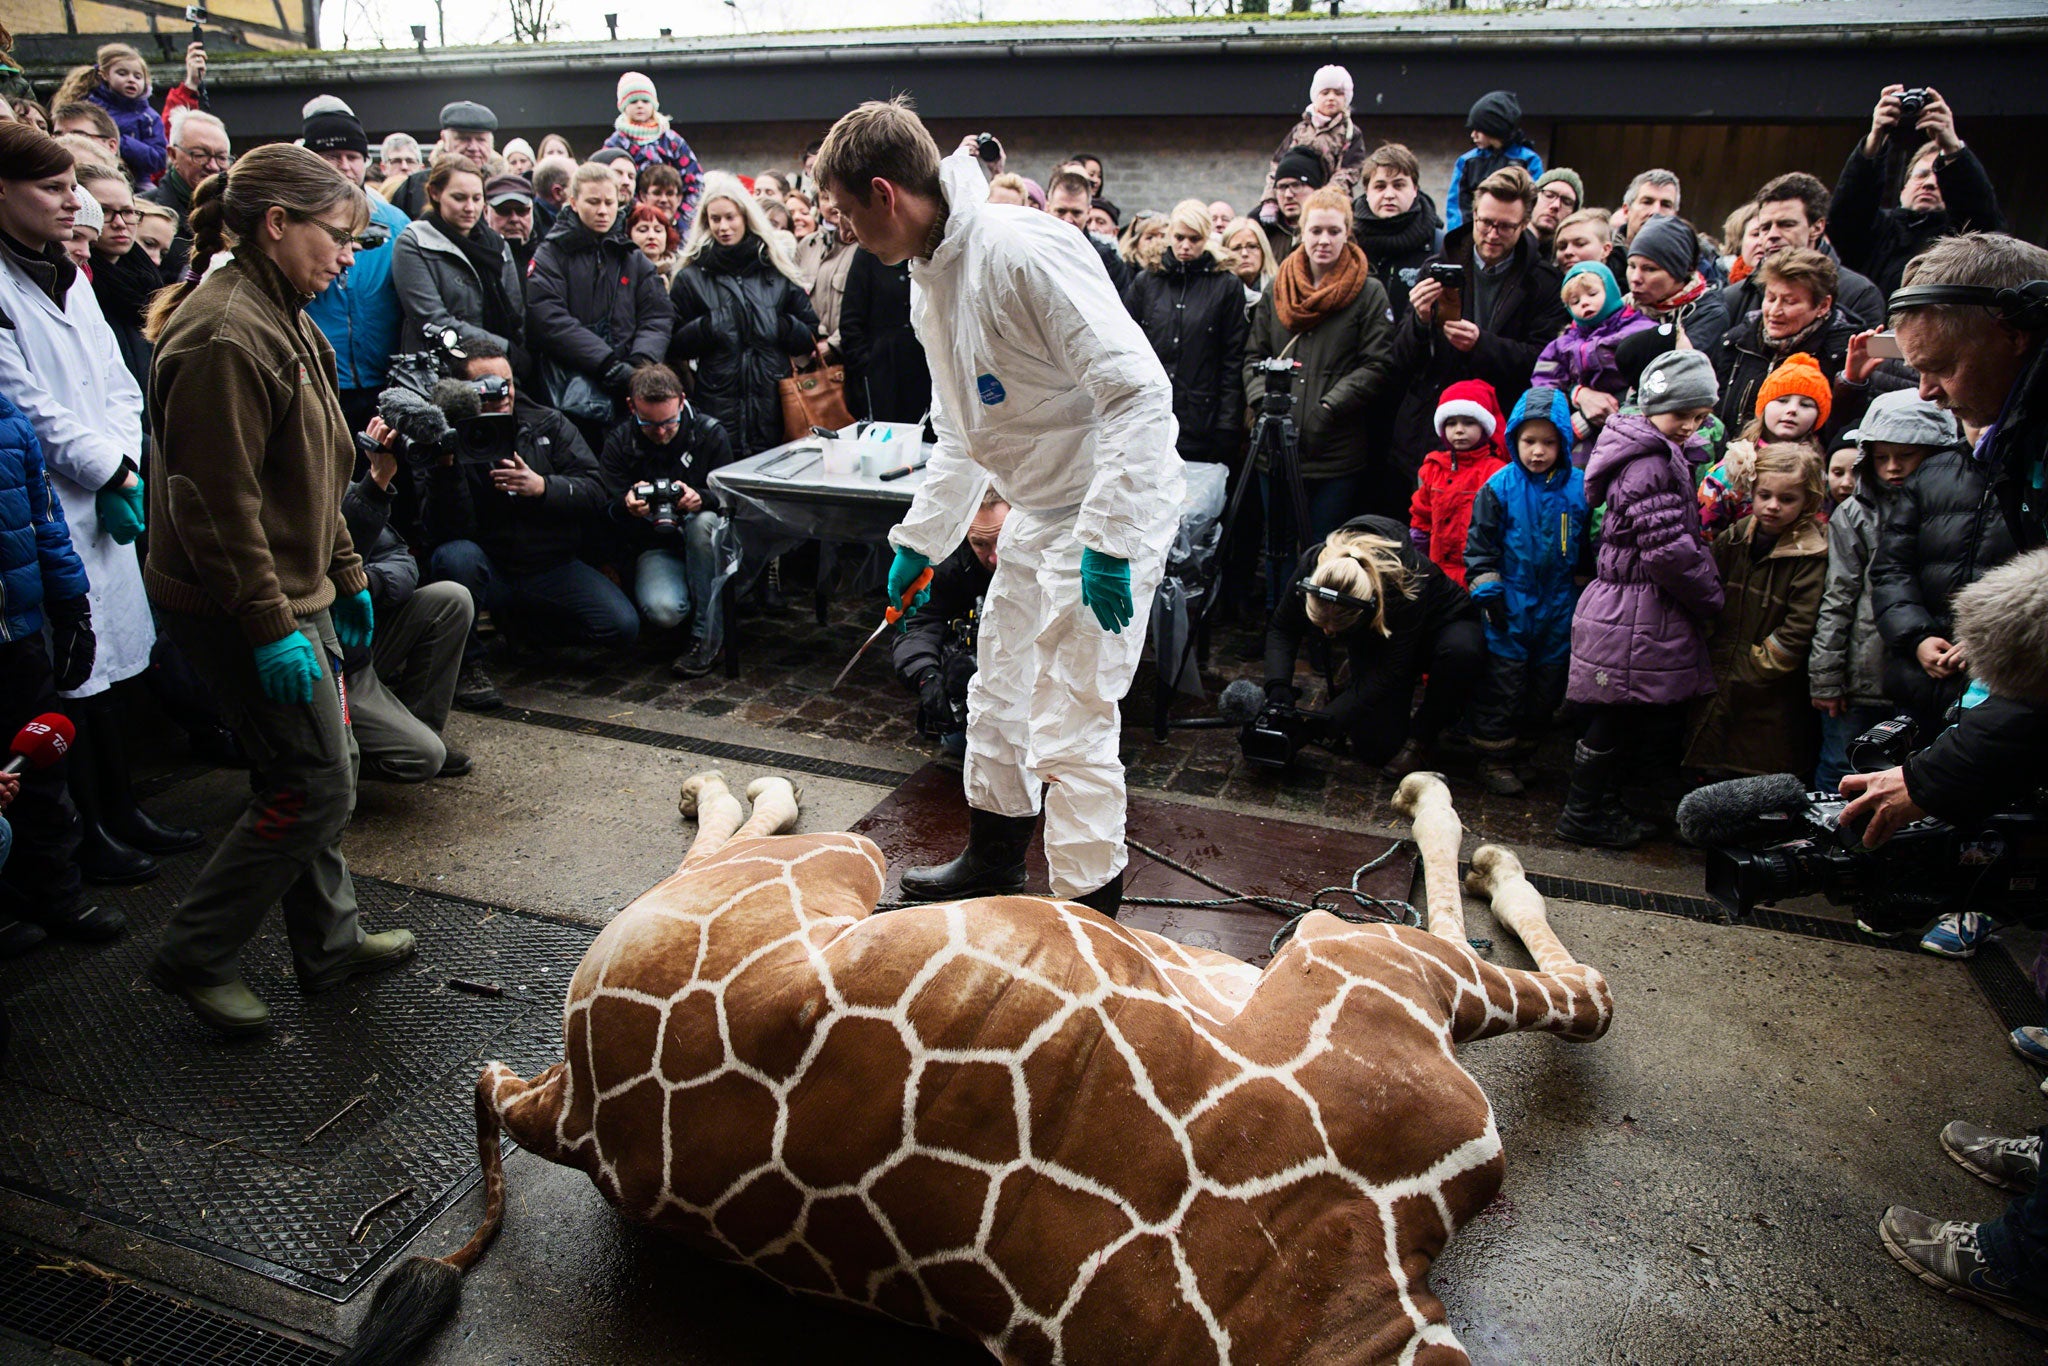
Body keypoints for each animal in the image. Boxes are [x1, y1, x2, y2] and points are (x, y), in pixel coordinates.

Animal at [344, 774, 1605, 1359]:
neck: (1336, 1310)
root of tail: (561, 1105)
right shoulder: (1369, 971)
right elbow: (1573, 984)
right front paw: (1460, 825)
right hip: (834, 864)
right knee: (751, 837)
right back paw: (734, 786)